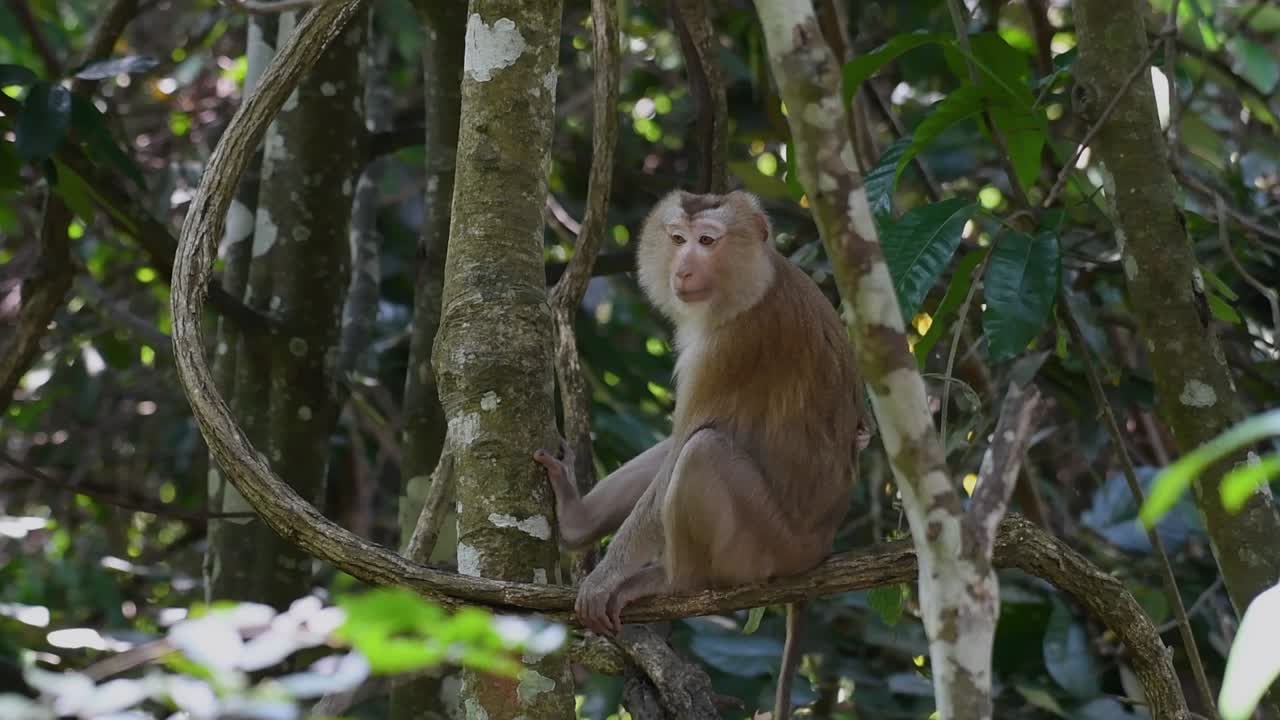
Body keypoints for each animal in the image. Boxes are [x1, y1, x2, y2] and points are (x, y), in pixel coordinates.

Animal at [534, 189, 868, 720]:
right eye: (677, 239)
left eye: (707, 241)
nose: (684, 268)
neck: (754, 281)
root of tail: (820, 547)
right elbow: (671, 450)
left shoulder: (730, 347)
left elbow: (686, 444)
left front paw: (605, 578)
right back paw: (575, 520)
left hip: (766, 546)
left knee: (700, 451)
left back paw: (675, 582)